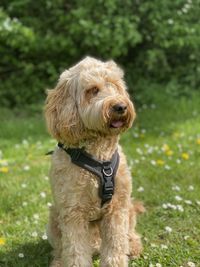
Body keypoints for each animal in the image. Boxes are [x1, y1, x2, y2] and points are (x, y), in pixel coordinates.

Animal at [45, 57, 144, 267]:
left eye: (115, 85)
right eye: (93, 90)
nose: (120, 106)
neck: (99, 157)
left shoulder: (117, 208)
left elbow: (116, 245)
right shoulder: (72, 212)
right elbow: (75, 251)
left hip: (128, 208)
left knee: (130, 233)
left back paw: (133, 246)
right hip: (53, 217)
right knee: (60, 248)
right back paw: (58, 261)